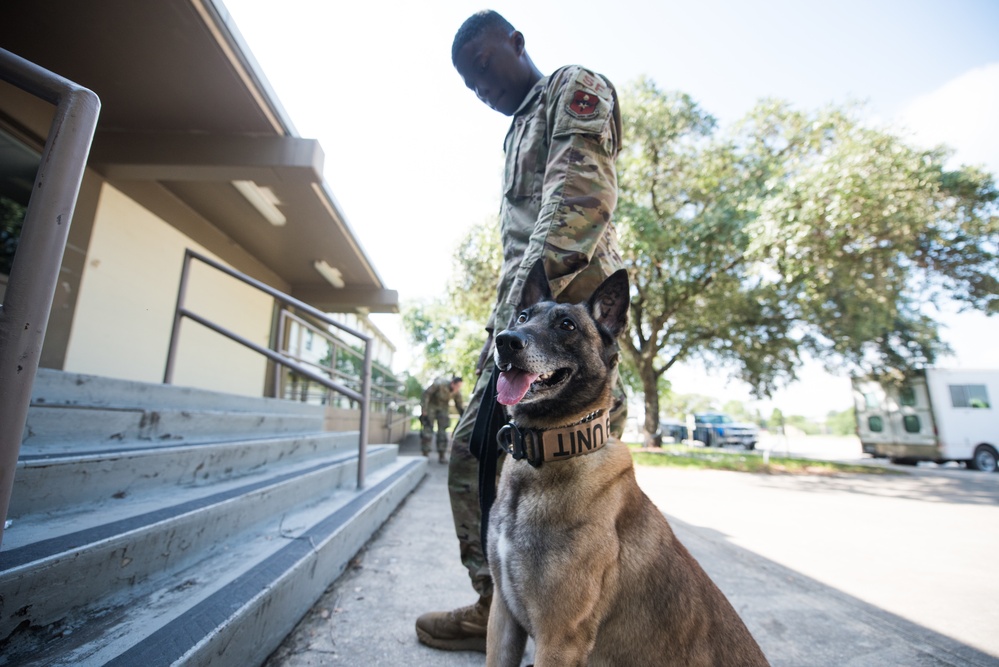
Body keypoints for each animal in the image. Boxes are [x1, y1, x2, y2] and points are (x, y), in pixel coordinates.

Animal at [488, 264, 768, 667]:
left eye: (567, 325)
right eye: (523, 317)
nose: (506, 340)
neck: (555, 449)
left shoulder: (559, 639)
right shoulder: (503, 615)